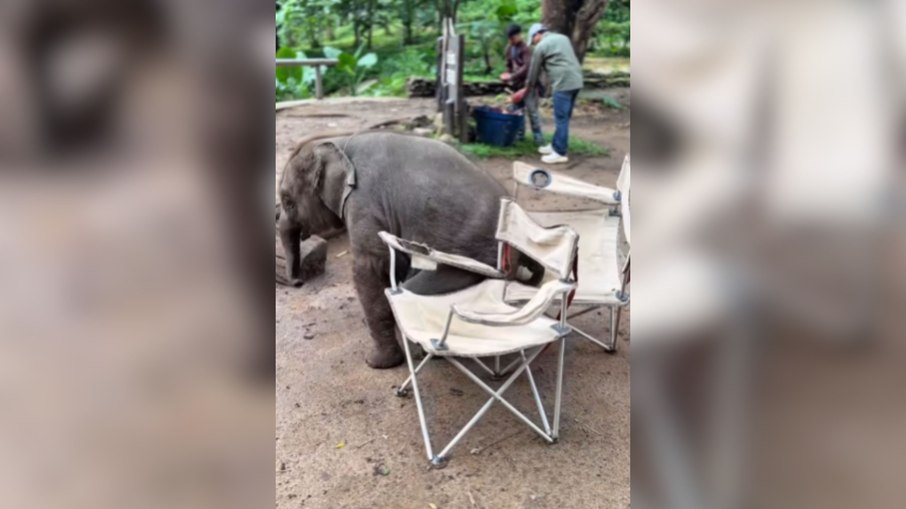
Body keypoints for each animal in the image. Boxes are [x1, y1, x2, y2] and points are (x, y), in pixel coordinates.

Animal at [278, 131, 543, 369]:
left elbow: (371, 266)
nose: (298, 283)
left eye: (288, 201)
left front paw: (377, 363)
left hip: (473, 260)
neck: (339, 141)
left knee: (414, 288)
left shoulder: (364, 203)